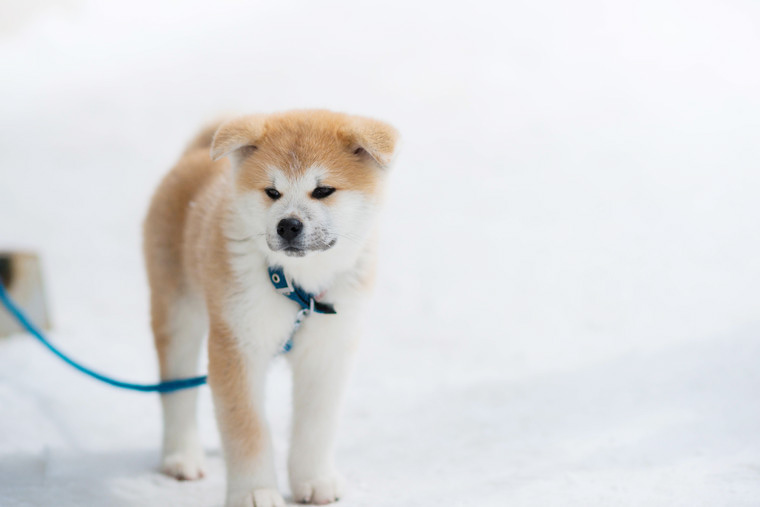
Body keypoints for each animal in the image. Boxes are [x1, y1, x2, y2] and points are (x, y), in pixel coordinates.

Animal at [142, 109, 398, 506]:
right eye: (272, 192)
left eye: (323, 190)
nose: (288, 224)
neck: (300, 287)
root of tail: (193, 156)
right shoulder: (238, 345)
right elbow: (247, 428)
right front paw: (255, 491)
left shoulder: (327, 351)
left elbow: (317, 423)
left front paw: (314, 479)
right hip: (177, 312)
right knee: (177, 388)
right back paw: (182, 456)